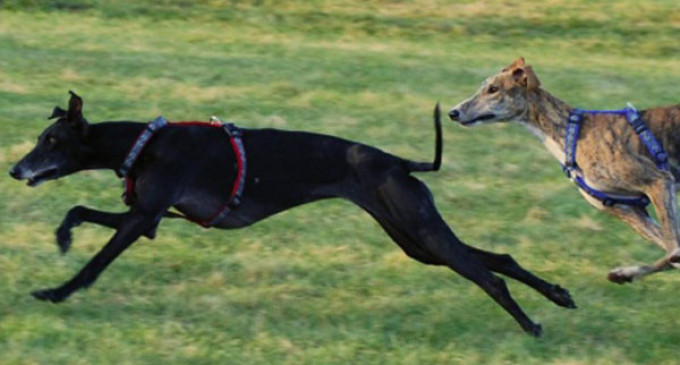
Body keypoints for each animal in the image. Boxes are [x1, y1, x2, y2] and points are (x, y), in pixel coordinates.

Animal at [448, 57, 680, 282]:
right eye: (484, 87)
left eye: (493, 89)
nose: (453, 112)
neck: (571, 134)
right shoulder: (627, 209)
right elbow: (671, 252)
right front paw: (625, 273)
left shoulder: (659, 182)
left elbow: (672, 249)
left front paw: (627, 272)